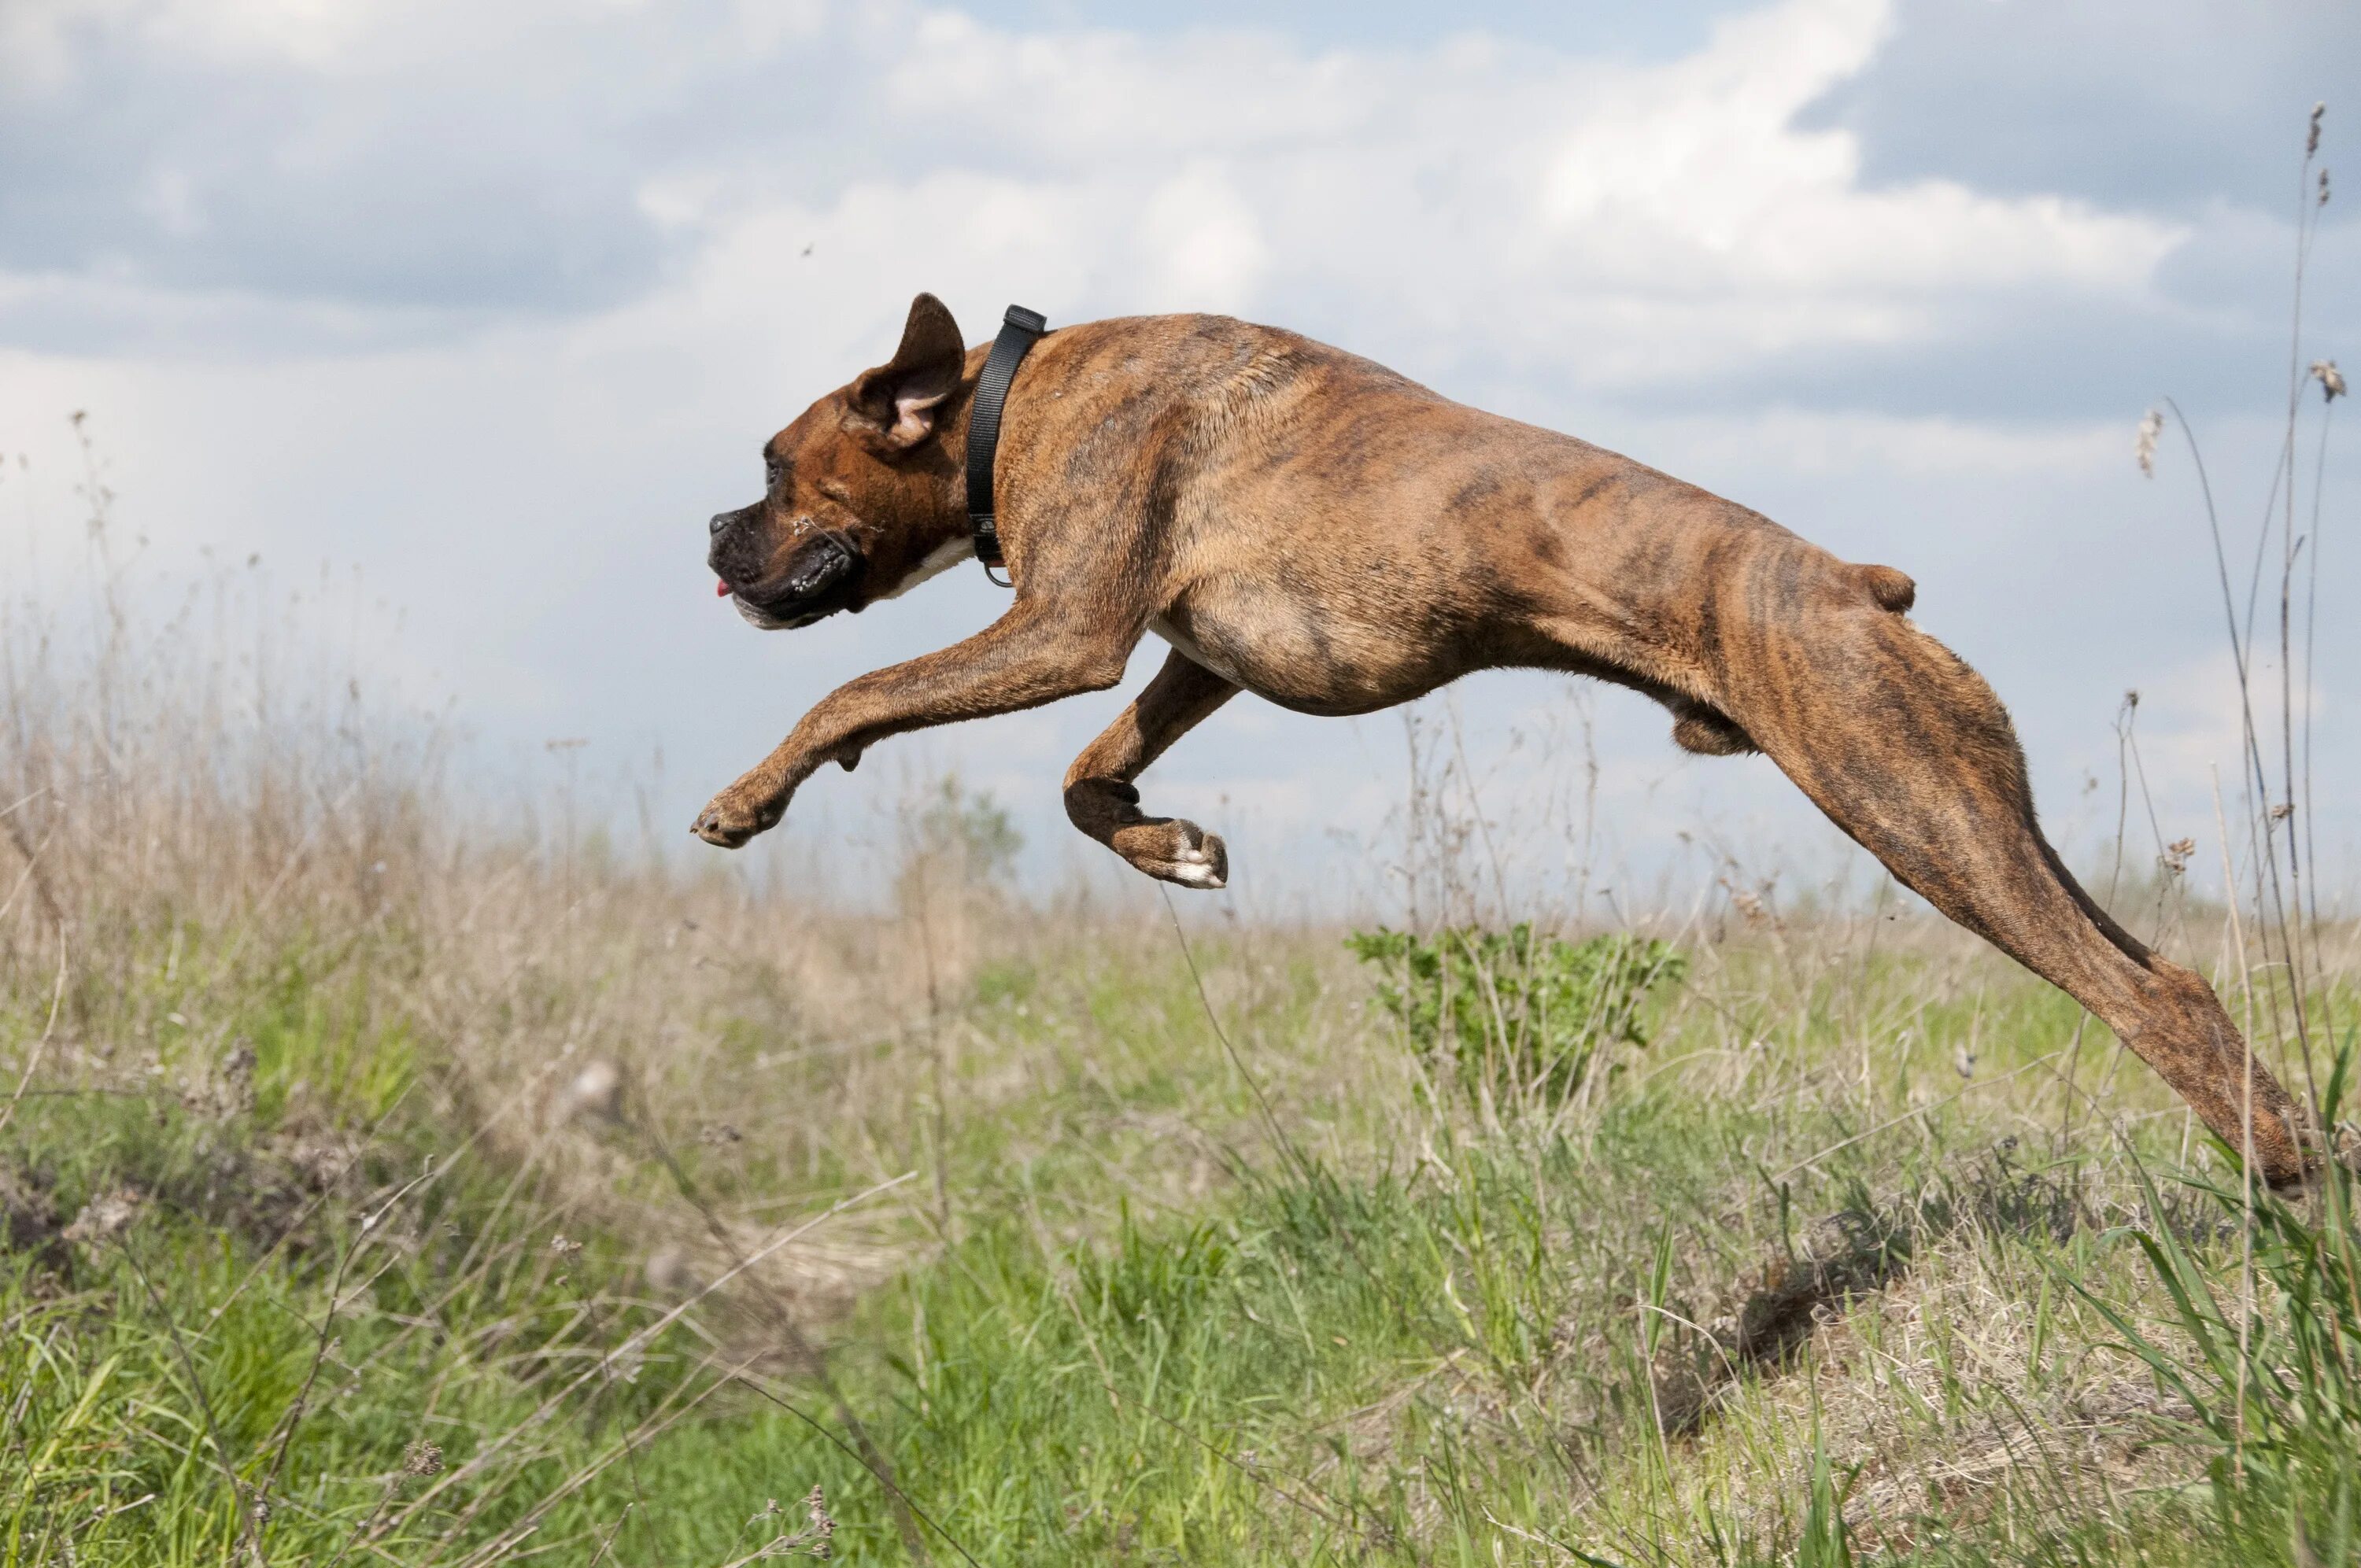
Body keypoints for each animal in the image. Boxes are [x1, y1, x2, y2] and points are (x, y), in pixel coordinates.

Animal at [689, 290, 2314, 1190]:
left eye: (773, 466)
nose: (710, 532)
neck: (1005, 402)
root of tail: (1856, 584)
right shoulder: (1196, 656)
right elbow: (1091, 778)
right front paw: (1174, 848)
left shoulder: (1068, 632)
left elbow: (855, 693)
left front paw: (750, 796)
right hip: (1977, 805)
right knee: (2167, 969)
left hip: (1909, 810)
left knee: (2145, 997)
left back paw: (2278, 1164)